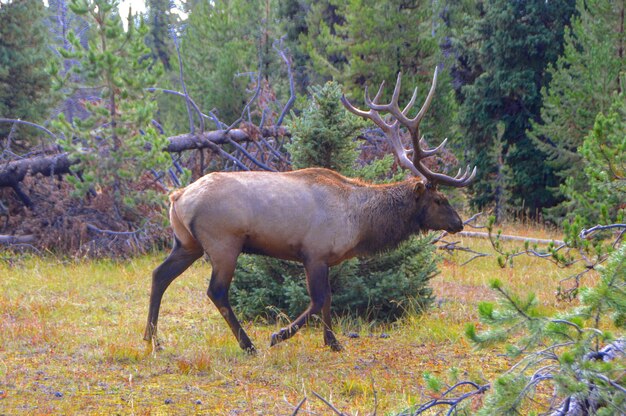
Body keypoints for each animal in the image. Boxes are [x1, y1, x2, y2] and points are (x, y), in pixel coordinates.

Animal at [143, 67, 472, 352]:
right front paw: (280, 335)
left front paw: (333, 342)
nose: (459, 223)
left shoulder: (325, 258)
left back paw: (152, 339)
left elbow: (327, 300)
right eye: (440, 200)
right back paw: (247, 344)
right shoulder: (314, 252)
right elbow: (318, 300)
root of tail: (177, 197)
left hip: (187, 243)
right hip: (224, 243)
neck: (359, 223)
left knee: (159, 275)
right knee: (216, 291)